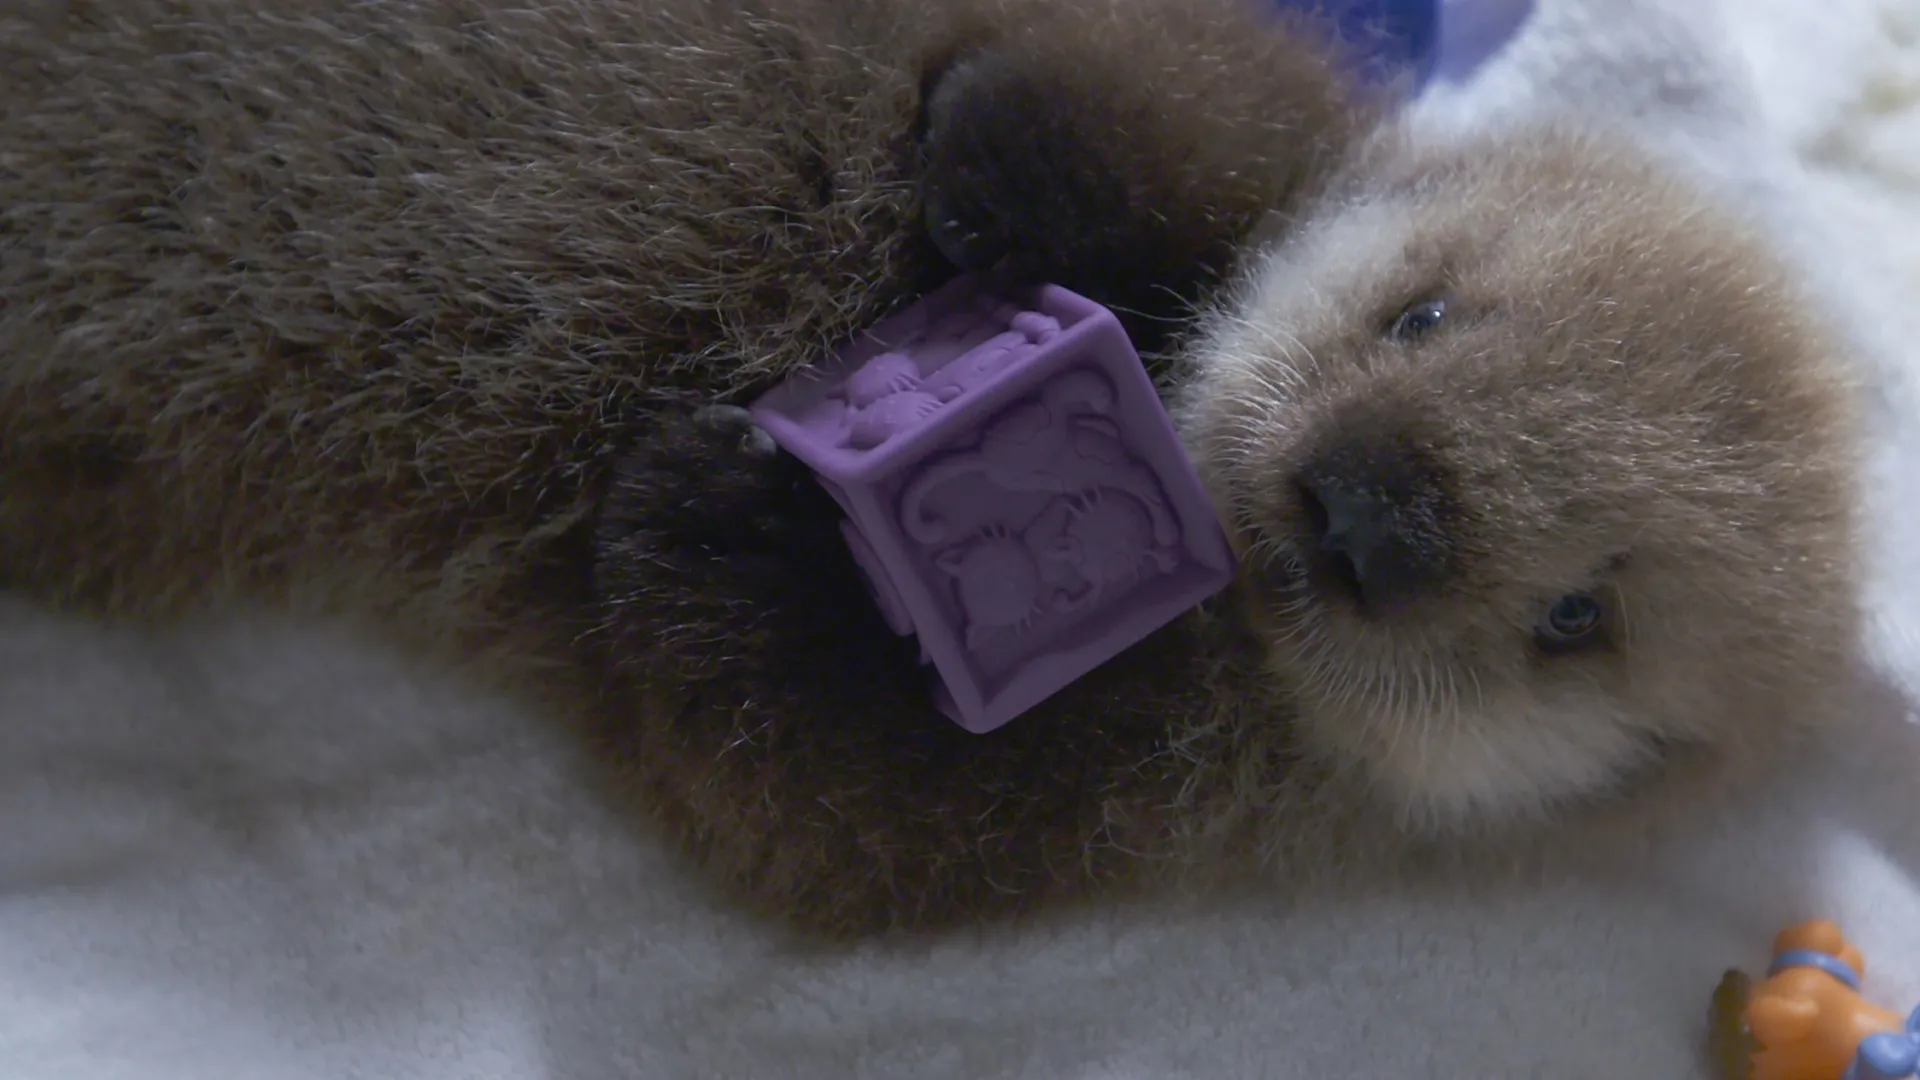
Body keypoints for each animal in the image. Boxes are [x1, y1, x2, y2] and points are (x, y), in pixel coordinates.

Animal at [0, 0, 1862, 936]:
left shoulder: (1094, 814)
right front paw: (1005, 177)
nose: (1365, 512)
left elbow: (795, 787)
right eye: (1423, 312)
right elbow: (1174, 89)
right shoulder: (1258, 100)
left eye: (1576, 621)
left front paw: (722, 522)